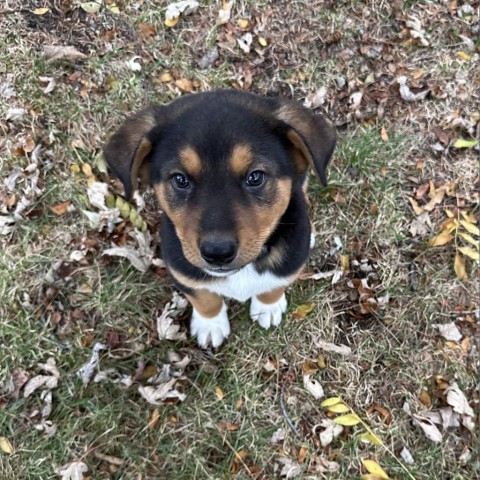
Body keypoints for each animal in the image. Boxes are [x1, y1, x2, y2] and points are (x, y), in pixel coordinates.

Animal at [104, 89, 338, 344]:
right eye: (180, 179)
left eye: (255, 177)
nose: (217, 252)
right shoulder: (182, 271)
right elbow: (204, 298)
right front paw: (210, 324)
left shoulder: (290, 262)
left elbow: (273, 286)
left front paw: (268, 307)